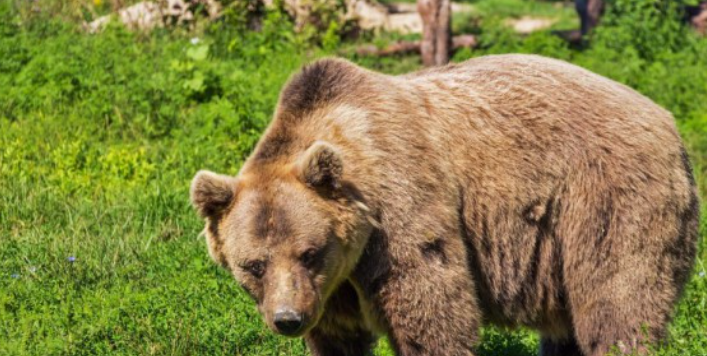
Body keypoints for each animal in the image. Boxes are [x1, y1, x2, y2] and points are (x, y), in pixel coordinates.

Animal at [189, 54, 704, 354]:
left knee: (617, 302)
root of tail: (668, 120)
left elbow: (432, 308)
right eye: (253, 265)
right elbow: (338, 338)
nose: (287, 320)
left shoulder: (400, 211)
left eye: (309, 252)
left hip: (606, 198)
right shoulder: (332, 291)